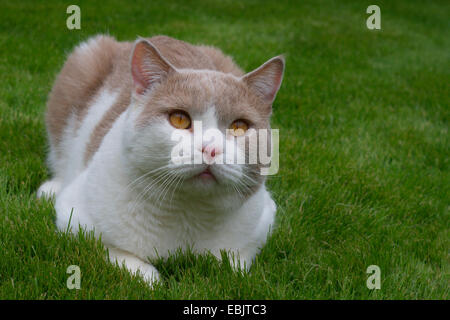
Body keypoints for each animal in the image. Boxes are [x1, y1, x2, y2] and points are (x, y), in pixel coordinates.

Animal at [38, 35, 284, 284]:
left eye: (239, 126)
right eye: (179, 119)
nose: (210, 149)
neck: (189, 213)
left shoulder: (263, 221)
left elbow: (235, 265)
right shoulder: (73, 217)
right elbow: (116, 253)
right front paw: (151, 279)